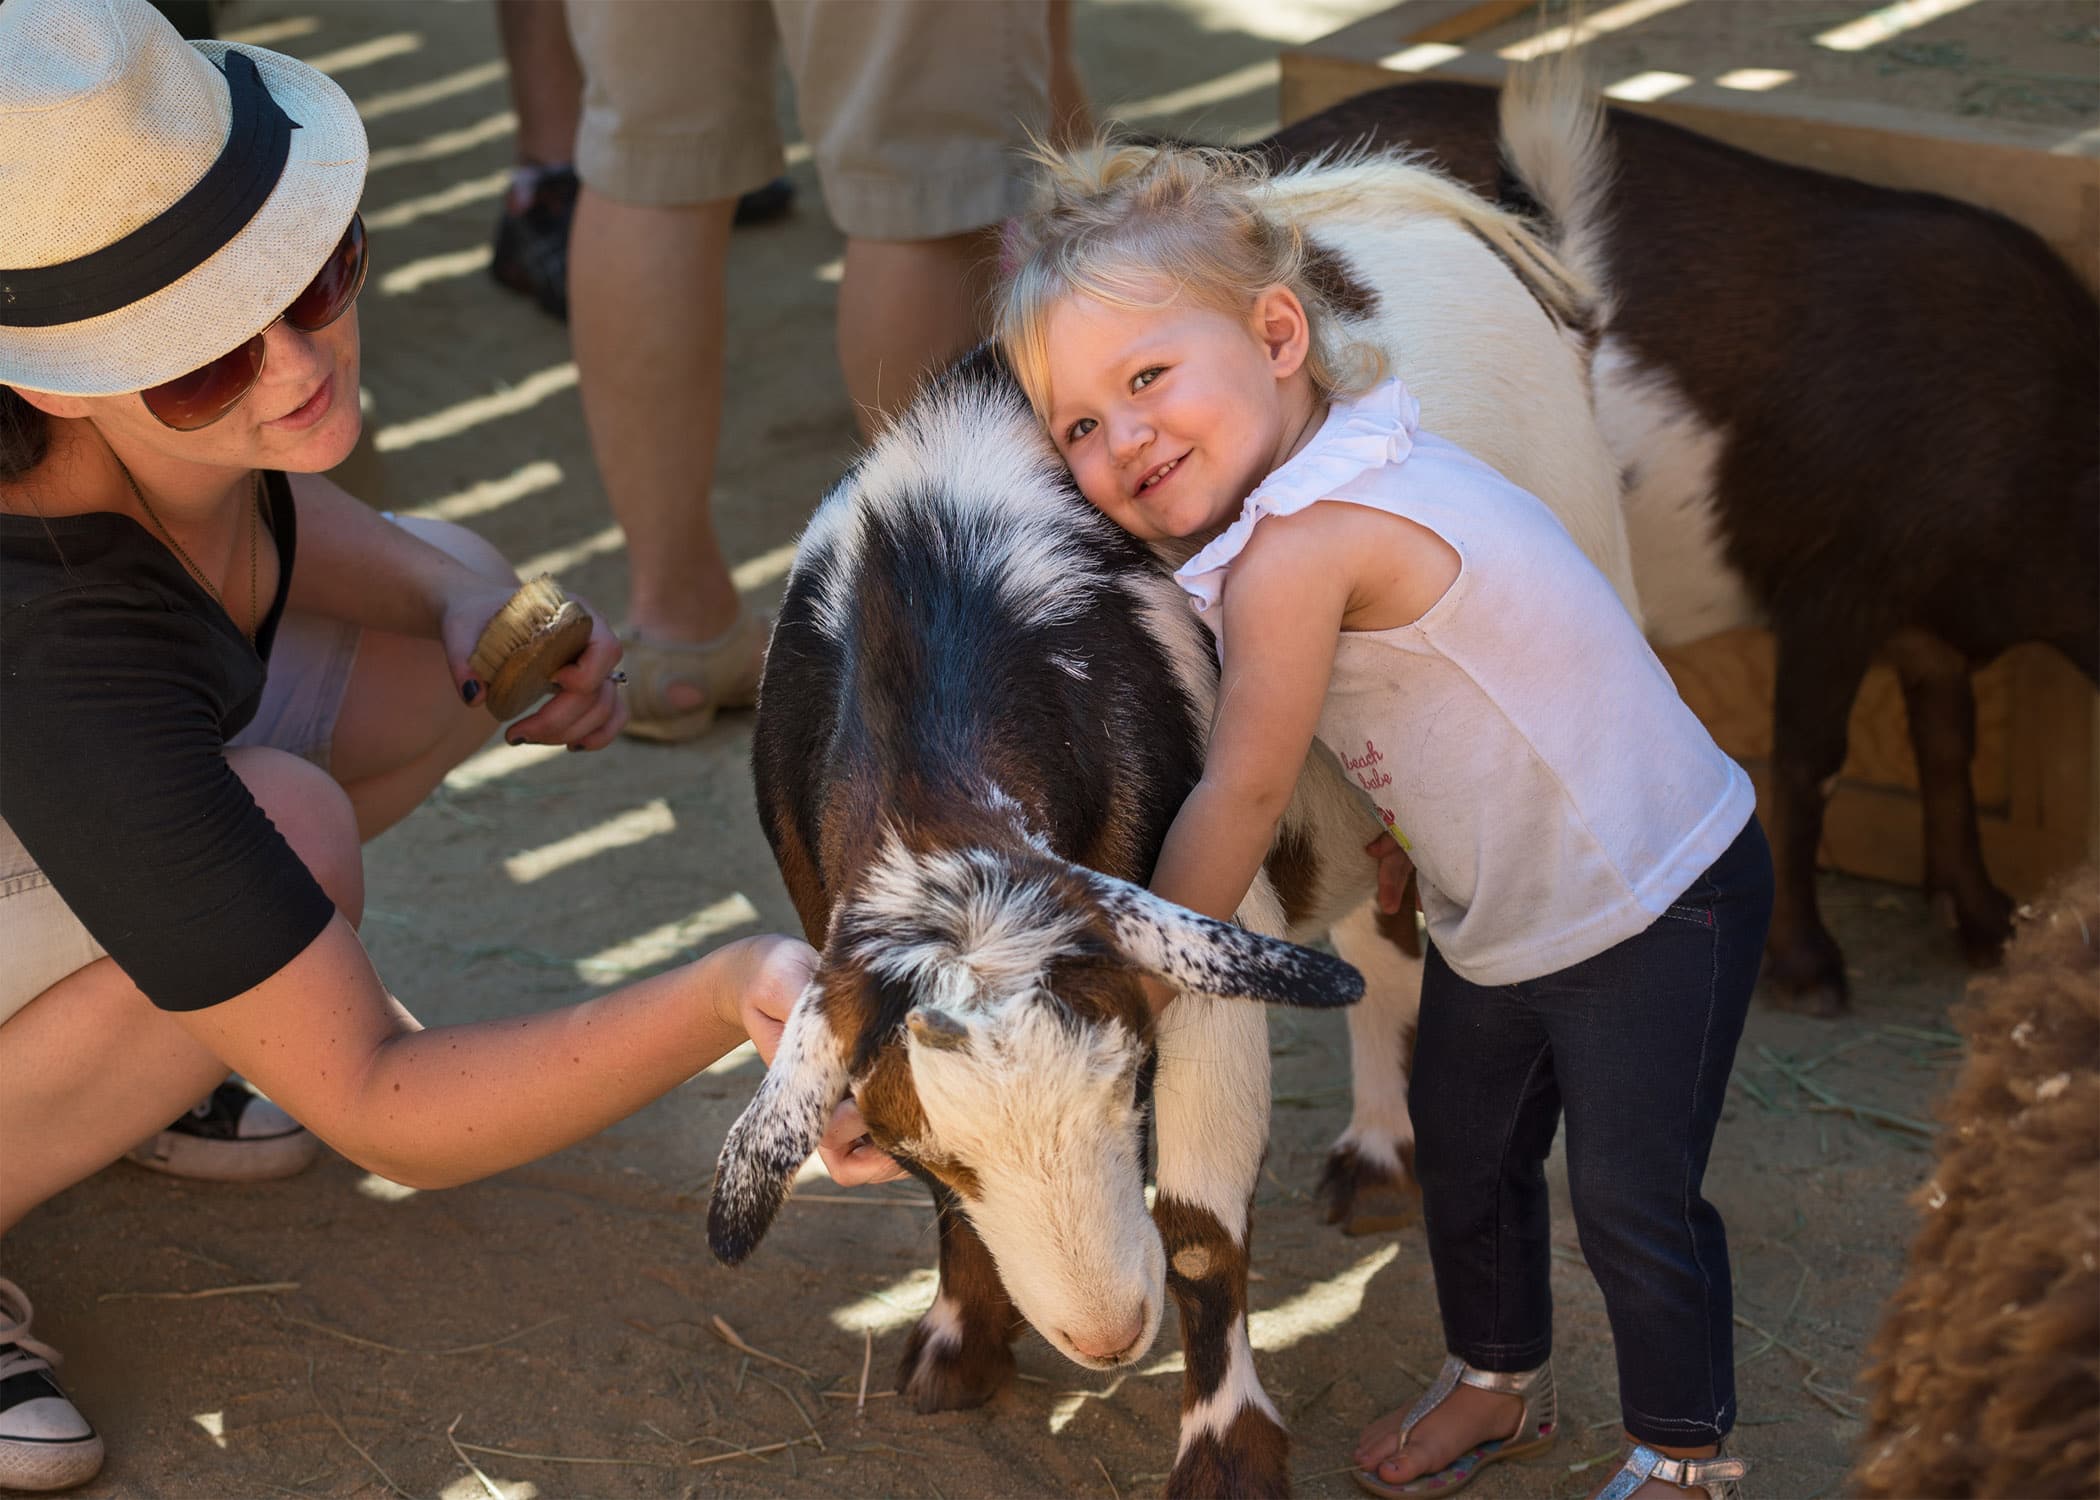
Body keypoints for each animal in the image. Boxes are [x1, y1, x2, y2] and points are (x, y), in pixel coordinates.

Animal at [1251, 76, 2091, 1012]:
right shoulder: (1834, 587)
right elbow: (1810, 761)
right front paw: (1807, 964)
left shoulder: (1931, 623)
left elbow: (1947, 744)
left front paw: (1981, 918)